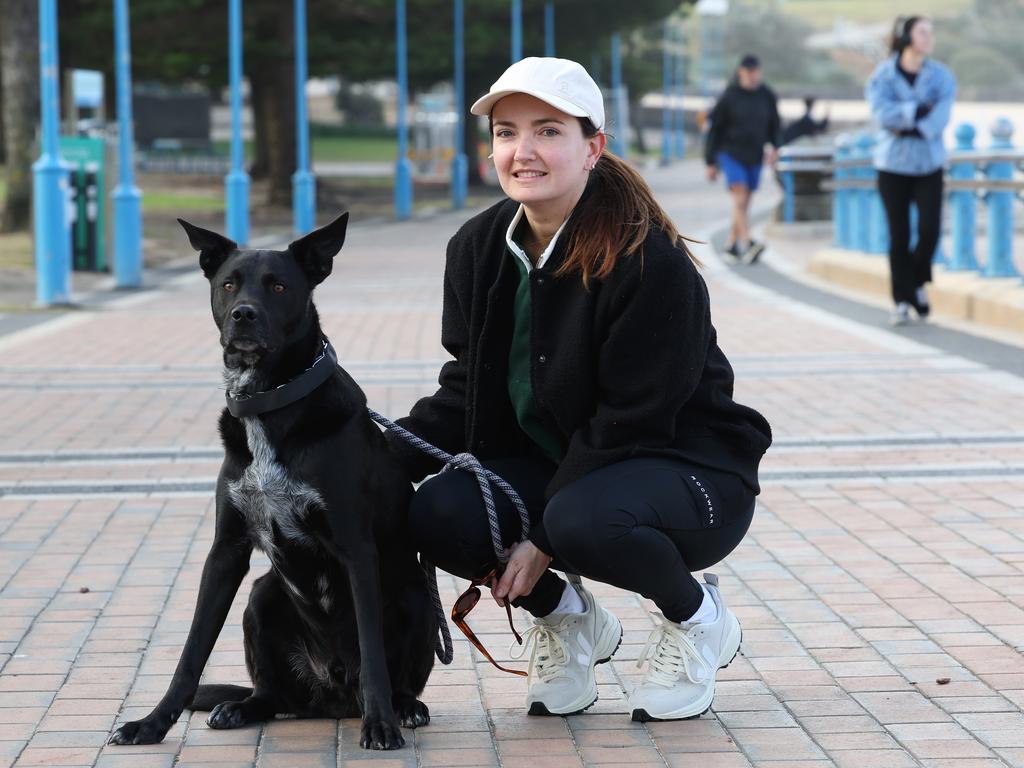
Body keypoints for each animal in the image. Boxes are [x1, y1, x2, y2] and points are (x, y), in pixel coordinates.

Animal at [109, 211, 436, 753]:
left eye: (279, 286)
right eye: (228, 284)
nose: (243, 315)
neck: (269, 401)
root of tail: (333, 697)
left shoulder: (356, 550)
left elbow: (372, 650)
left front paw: (381, 725)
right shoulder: (225, 552)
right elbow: (191, 653)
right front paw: (152, 724)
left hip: (415, 596)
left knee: (392, 676)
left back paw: (403, 707)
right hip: (262, 597)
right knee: (273, 695)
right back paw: (239, 707)